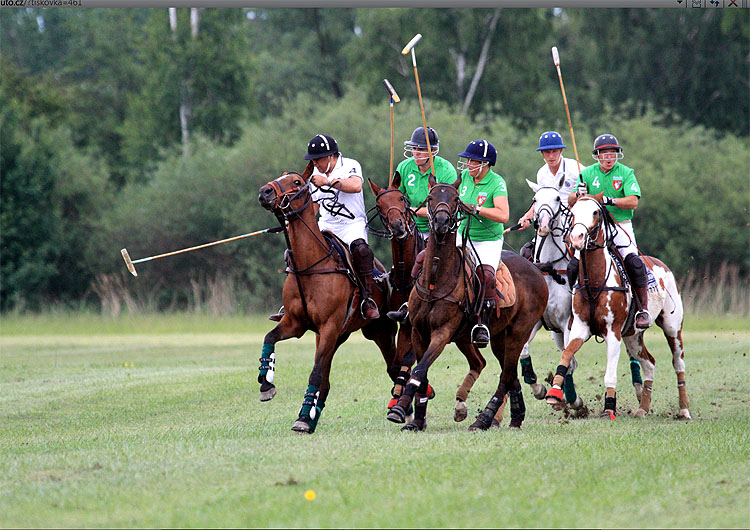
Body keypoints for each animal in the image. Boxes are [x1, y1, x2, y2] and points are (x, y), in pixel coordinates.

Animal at [258, 163, 400, 432]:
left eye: (296, 182)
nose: (264, 192)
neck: (309, 266)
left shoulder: (329, 326)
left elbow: (314, 373)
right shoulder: (296, 323)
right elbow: (269, 337)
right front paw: (266, 383)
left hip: (379, 331)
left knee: (393, 367)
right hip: (336, 336)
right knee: (326, 379)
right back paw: (309, 417)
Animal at [370, 175, 494, 422]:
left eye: (401, 199)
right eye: (380, 205)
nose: (398, 226)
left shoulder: (437, 331)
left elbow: (414, 364)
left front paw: (409, 400)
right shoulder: (410, 326)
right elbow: (400, 365)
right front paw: (403, 401)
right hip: (463, 336)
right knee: (479, 362)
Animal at [388, 176, 548, 428]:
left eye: (456, 199)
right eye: (431, 197)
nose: (442, 222)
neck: (435, 281)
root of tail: (536, 268)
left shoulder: (442, 333)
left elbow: (419, 370)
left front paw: (402, 409)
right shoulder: (417, 332)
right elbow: (421, 371)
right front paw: (416, 420)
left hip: (519, 331)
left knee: (506, 374)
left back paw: (483, 419)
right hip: (497, 336)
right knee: (508, 373)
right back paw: (515, 416)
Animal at [548, 194, 692, 416]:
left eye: (595, 212)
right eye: (572, 213)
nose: (577, 238)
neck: (595, 282)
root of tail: (662, 265)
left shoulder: (613, 332)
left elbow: (610, 374)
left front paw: (609, 409)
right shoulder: (580, 328)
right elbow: (567, 353)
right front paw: (554, 392)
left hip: (672, 326)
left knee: (678, 362)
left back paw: (684, 410)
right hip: (633, 336)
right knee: (650, 363)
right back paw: (642, 409)